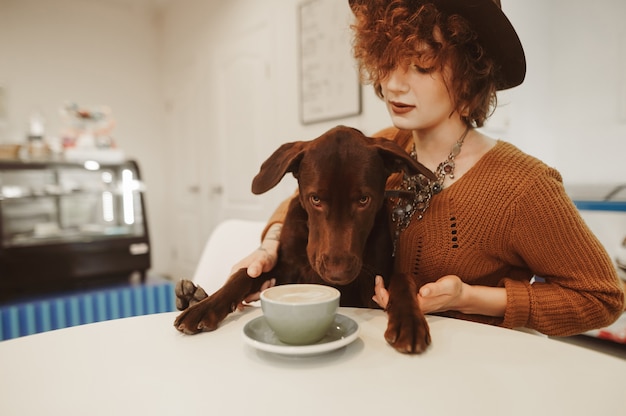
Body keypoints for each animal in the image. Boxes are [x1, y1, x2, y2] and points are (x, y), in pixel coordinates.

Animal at [173, 125, 432, 352]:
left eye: (363, 200)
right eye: (315, 199)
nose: (337, 273)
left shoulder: (374, 283)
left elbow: (403, 279)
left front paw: (409, 321)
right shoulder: (284, 272)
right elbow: (243, 275)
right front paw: (204, 308)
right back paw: (191, 297)